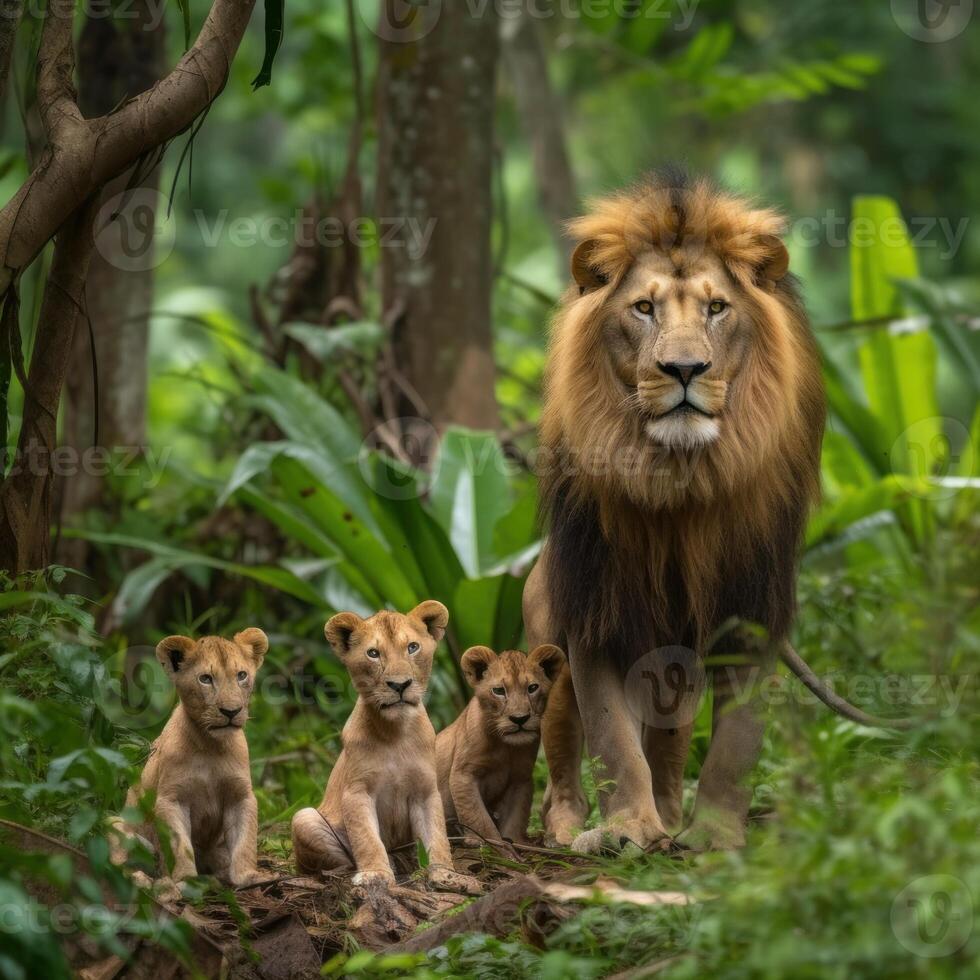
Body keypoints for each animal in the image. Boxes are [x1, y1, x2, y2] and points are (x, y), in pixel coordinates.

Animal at [520, 168, 828, 848]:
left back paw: (667, 812)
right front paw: (629, 830)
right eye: (644, 308)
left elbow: (736, 745)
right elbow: (611, 736)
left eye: (716, 308)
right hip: (549, 641)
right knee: (561, 751)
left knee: (668, 742)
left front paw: (713, 837)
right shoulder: (596, 609)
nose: (684, 368)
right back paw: (570, 827)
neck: (680, 481)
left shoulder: (751, 610)